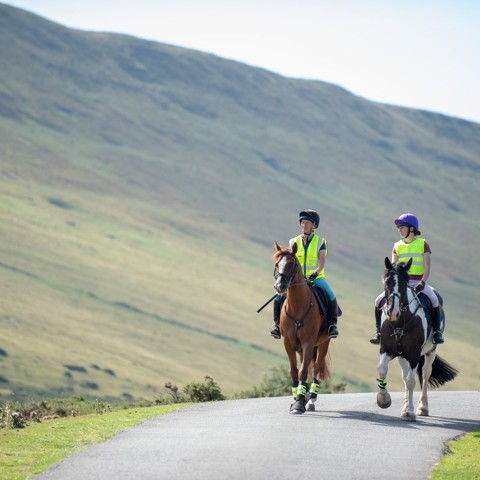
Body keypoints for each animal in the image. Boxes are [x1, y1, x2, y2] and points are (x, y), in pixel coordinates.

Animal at [272, 242, 332, 414]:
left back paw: (310, 400)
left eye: (292, 264)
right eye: (277, 264)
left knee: (316, 369)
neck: (297, 307)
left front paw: (299, 403)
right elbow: (294, 371)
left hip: (323, 344)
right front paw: (296, 399)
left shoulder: (308, 342)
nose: (279, 286)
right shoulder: (288, 342)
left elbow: (303, 371)